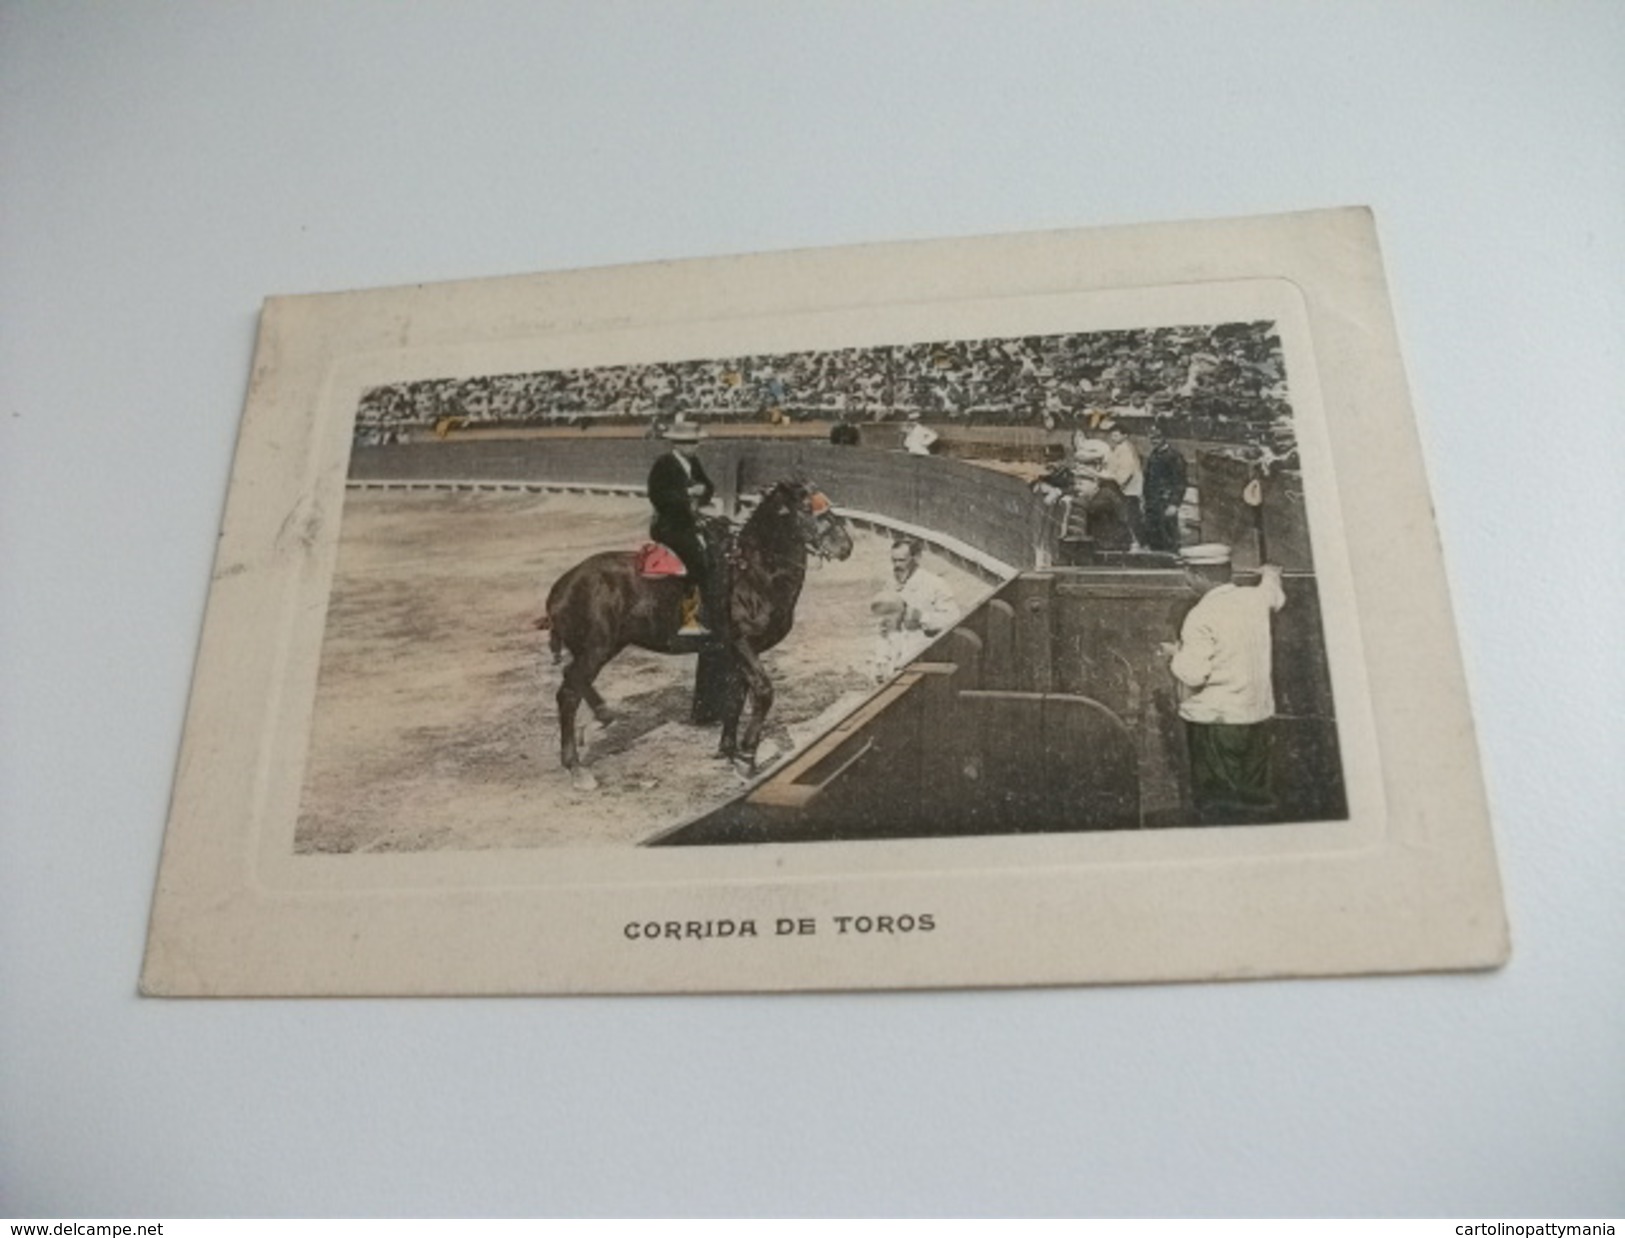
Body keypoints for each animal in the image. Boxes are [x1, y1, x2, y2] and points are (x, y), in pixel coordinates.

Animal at [539, 477, 858, 786]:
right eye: (805, 508)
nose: (845, 546)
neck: (753, 575)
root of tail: (561, 587)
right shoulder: (741, 643)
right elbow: (763, 692)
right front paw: (746, 757)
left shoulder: (736, 653)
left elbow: (736, 697)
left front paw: (729, 751)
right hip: (597, 647)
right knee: (568, 693)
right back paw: (576, 766)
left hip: (601, 646)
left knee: (573, 677)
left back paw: (602, 717)